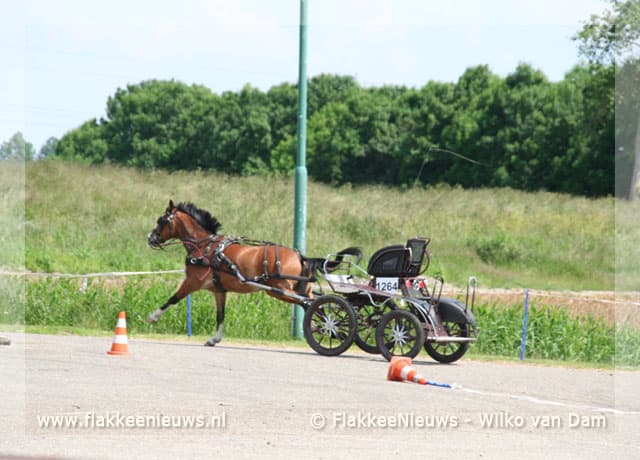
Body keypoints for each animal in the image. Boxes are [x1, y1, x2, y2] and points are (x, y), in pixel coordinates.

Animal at [146, 200, 317, 346]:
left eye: (161, 220)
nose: (150, 238)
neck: (204, 247)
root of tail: (299, 256)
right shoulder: (219, 290)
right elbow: (220, 315)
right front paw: (215, 339)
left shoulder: (192, 282)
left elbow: (173, 299)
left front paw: (153, 317)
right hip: (298, 289)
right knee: (309, 302)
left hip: (278, 290)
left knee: (307, 303)